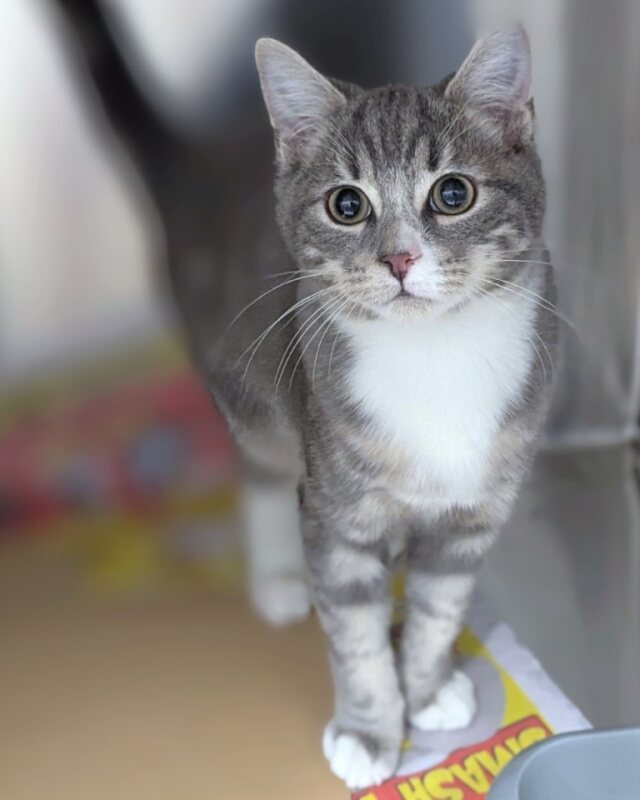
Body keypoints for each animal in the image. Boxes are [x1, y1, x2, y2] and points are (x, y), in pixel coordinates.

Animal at [57, 5, 557, 789]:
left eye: (453, 194)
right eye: (347, 205)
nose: (399, 258)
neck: (436, 357)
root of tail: (200, 162)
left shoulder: (477, 508)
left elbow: (440, 605)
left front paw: (427, 687)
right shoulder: (335, 510)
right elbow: (354, 631)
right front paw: (370, 731)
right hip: (248, 389)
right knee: (260, 466)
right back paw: (278, 578)